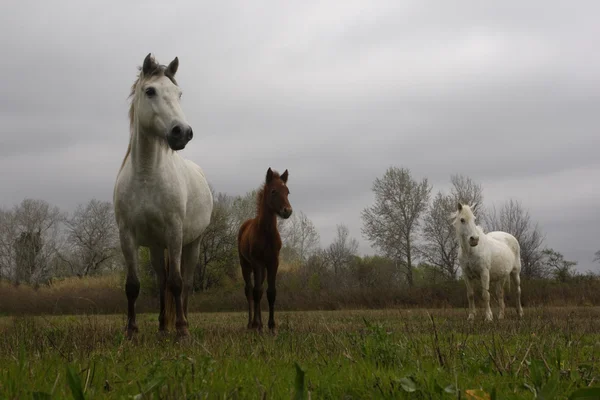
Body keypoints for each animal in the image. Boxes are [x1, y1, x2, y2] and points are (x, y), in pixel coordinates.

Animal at [113, 53, 214, 338]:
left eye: (179, 93)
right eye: (150, 91)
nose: (183, 132)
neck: (146, 175)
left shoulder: (175, 232)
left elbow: (177, 283)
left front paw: (181, 331)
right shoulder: (128, 236)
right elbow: (133, 285)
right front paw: (131, 331)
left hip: (193, 243)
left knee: (186, 283)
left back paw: (183, 321)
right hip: (157, 247)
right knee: (161, 282)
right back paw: (161, 327)